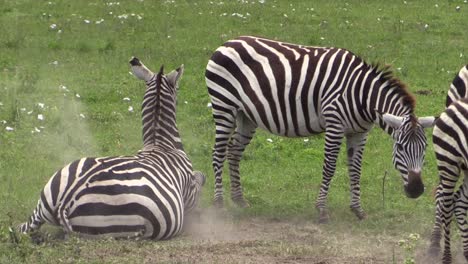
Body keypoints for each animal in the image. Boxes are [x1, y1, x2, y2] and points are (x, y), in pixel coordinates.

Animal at [18, 57, 205, 239]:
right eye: (178, 88)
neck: (159, 144)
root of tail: (66, 199)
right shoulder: (190, 193)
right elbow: (199, 180)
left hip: (44, 199)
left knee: (23, 228)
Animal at [207, 36, 436, 222]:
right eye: (400, 148)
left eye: (425, 148)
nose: (416, 190)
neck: (361, 96)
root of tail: (227, 43)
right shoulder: (335, 125)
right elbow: (330, 167)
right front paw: (322, 210)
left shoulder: (360, 132)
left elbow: (356, 170)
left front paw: (358, 210)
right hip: (224, 106)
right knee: (218, 153)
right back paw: (218, 204)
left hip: (246, 116)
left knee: (234, 151)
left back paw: (239, 199)